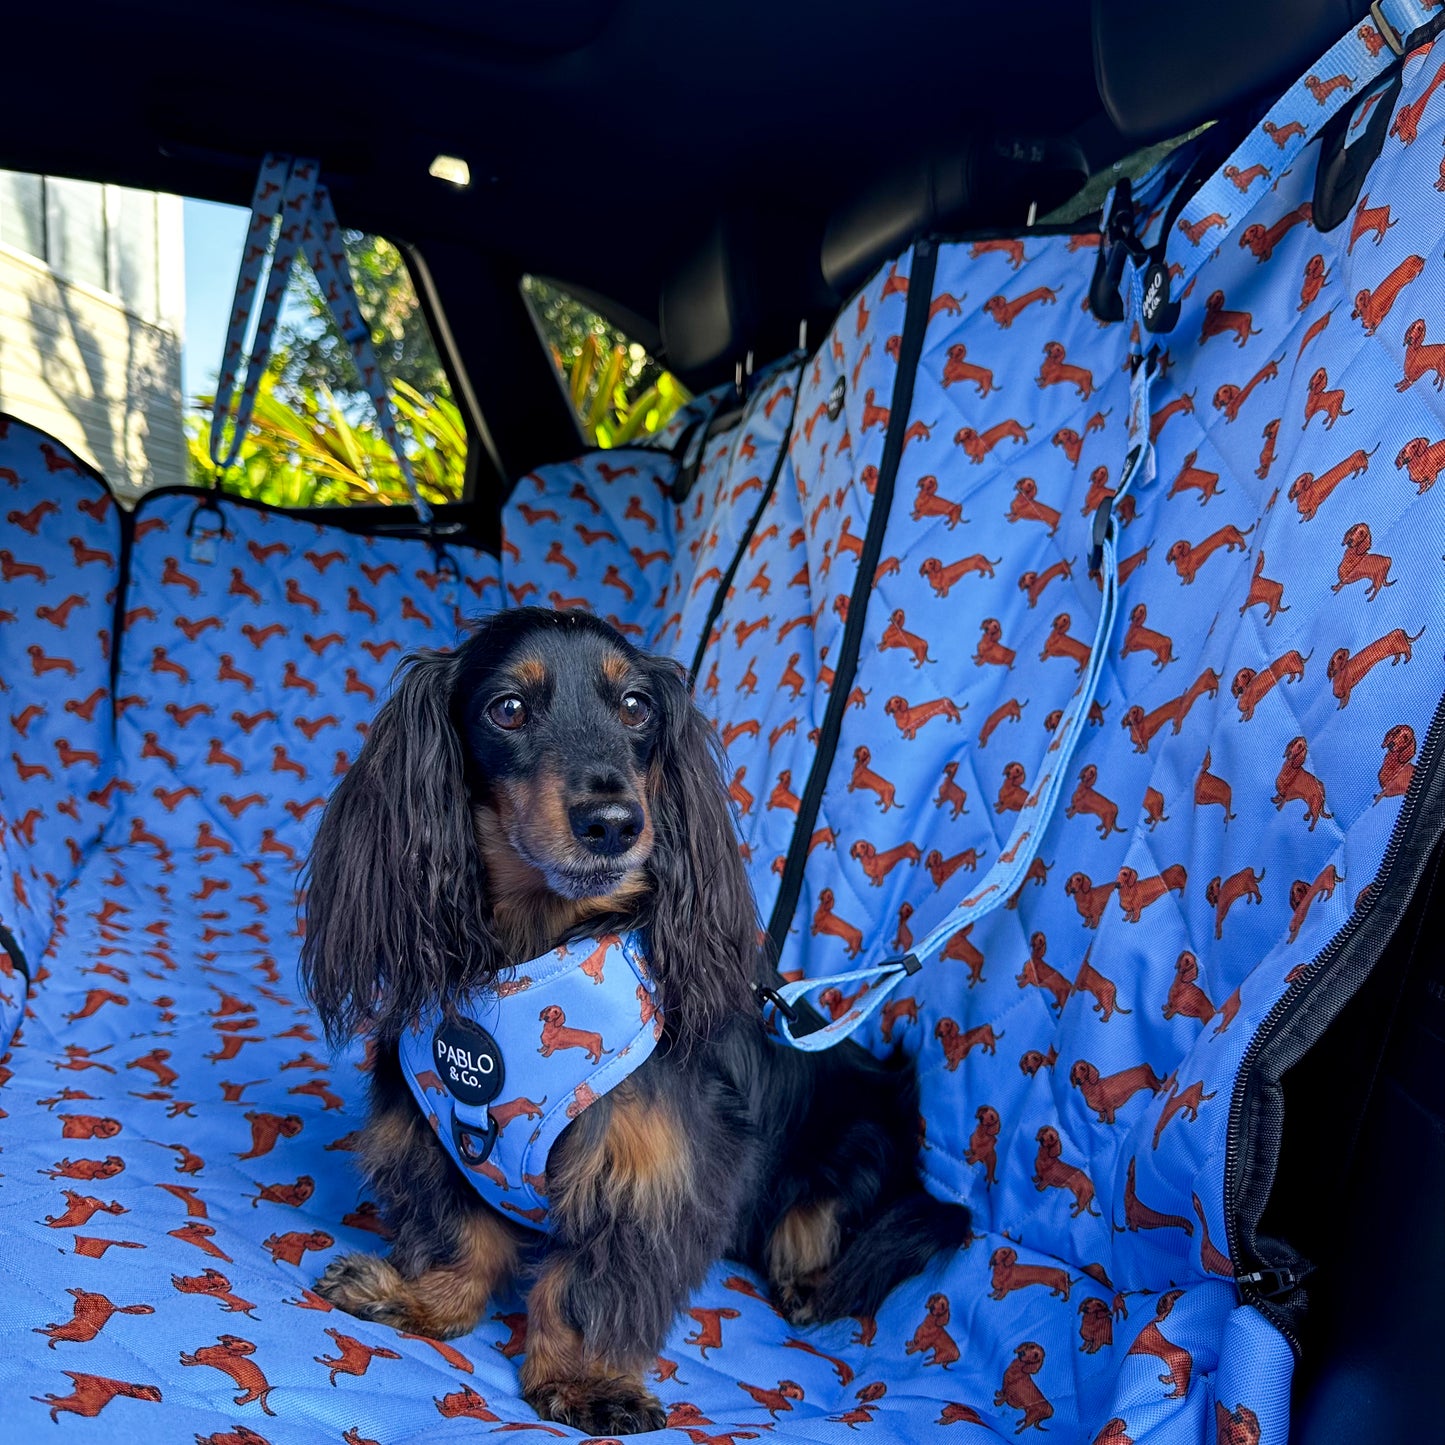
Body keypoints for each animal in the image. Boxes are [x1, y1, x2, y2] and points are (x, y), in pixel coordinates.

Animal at [299, 606, 965, 1433]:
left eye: (636, 707)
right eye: (507, 709)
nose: (613, 822)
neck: (539, 951)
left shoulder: (649, 1171)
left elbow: (585, 1289)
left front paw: (584, 1381)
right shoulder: (431, 1129)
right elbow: (459, 1233)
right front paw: (422, 1299)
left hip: (858, 1143)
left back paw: (810, 1285)